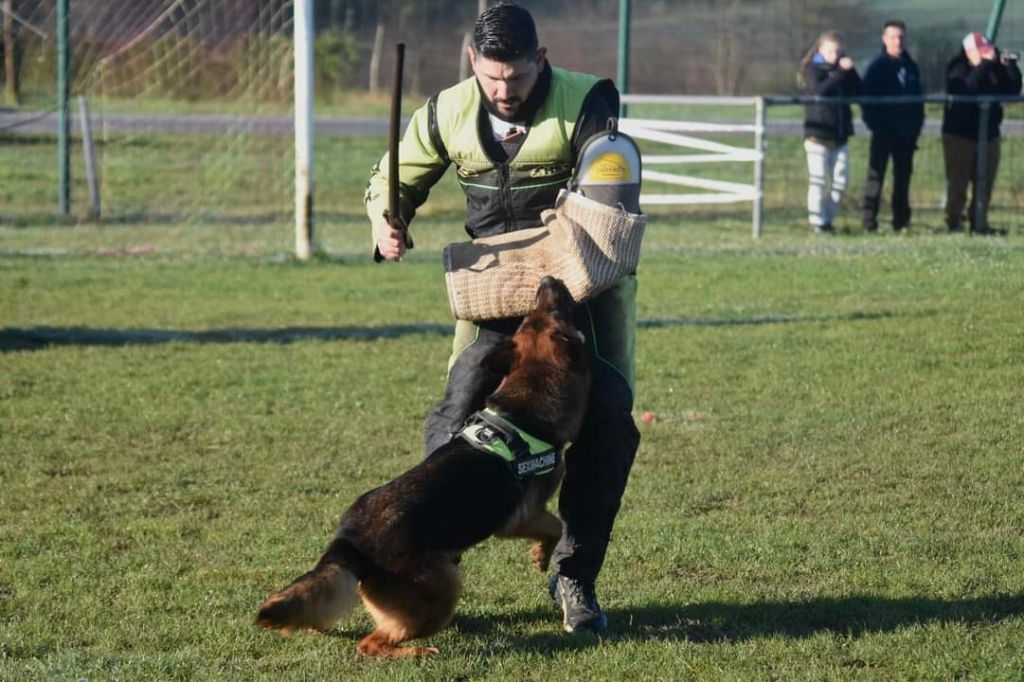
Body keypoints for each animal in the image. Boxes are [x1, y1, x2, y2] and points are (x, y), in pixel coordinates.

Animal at [256, 274, 593, 655]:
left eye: (531, 317)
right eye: (554, 311)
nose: (548, 279)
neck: (527, 400)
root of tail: (349, 541)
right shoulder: (520, 517)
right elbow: (556, 526)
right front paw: (541, 555)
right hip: (444, 587)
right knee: (371, 644)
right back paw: (415, 652)